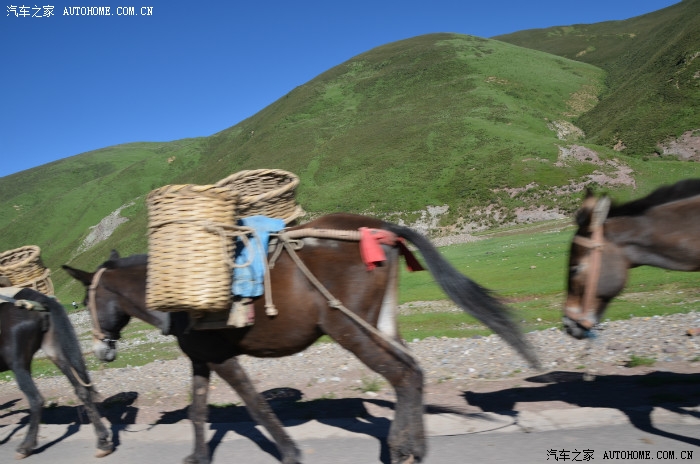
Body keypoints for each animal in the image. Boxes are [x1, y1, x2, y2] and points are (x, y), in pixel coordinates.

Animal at [0, 287, 114, 459]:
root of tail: (39, 301)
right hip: (56, 353)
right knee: (82, 390)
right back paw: (102, 442)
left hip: (18, 364)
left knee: (36, 399)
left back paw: (26, 446)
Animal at [63, 212, 540, 464]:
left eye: (87, 299)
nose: (100, 348)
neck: (178, 294)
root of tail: (376, 230)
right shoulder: (202, 360)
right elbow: (199, 411)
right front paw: (198, 456)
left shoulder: (222, 358)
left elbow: (256, 405)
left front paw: (290, 451)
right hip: (378, 325)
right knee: (414, 373)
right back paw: (414, 447)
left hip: (349, 329)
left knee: (402, 376)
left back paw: (400, 448)